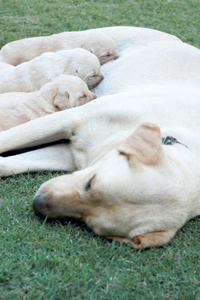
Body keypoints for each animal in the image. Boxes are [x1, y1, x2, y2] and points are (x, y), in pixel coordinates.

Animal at [0, 27, 200, 248]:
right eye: (91, 183)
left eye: (89, 223)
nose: (38, 204)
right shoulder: (70, 117)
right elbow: (8, 138)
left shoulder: (73, 156)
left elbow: (9, 164)